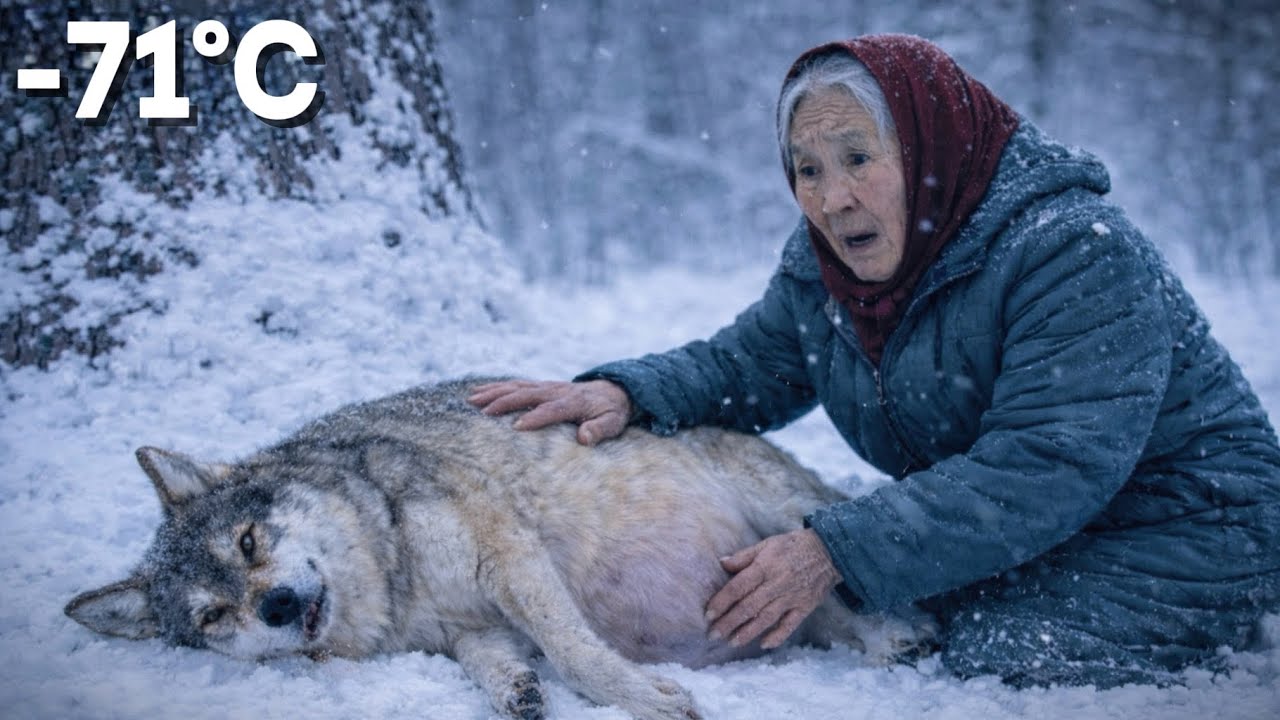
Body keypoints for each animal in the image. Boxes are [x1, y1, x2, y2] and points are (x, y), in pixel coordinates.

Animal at [65, 378, 933, 720]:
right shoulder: (467, 631)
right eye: (212, 617)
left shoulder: (508, 554)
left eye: (247, 542)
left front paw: (648, 699)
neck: (394, 579)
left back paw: (901, 636)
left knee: (833, 564)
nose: (277, 605)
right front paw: (518, 693)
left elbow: (577, 651)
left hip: (785, 511)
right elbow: (495, 665)